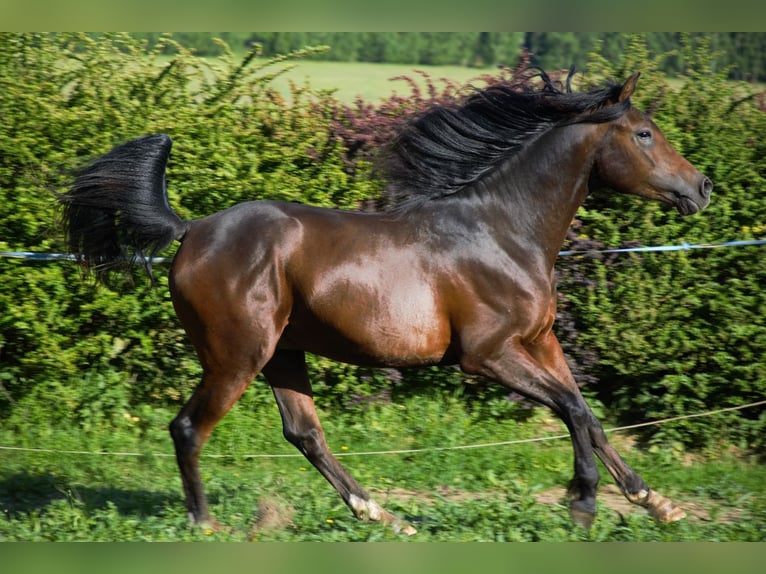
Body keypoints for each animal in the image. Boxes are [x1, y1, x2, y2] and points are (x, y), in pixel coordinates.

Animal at [60, 71, 712, 536]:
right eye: (645, 133)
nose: (702, 186)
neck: (504, 231)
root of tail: (192, 231)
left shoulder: (540, 342)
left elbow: (588, 415)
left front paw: (657, 503)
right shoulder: (487, 355)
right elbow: (573, 411)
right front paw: (582, 504)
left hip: (283, 354)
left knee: (305, 433)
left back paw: (384, 516)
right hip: (236, 356)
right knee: (190, 428)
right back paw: (205, 525)